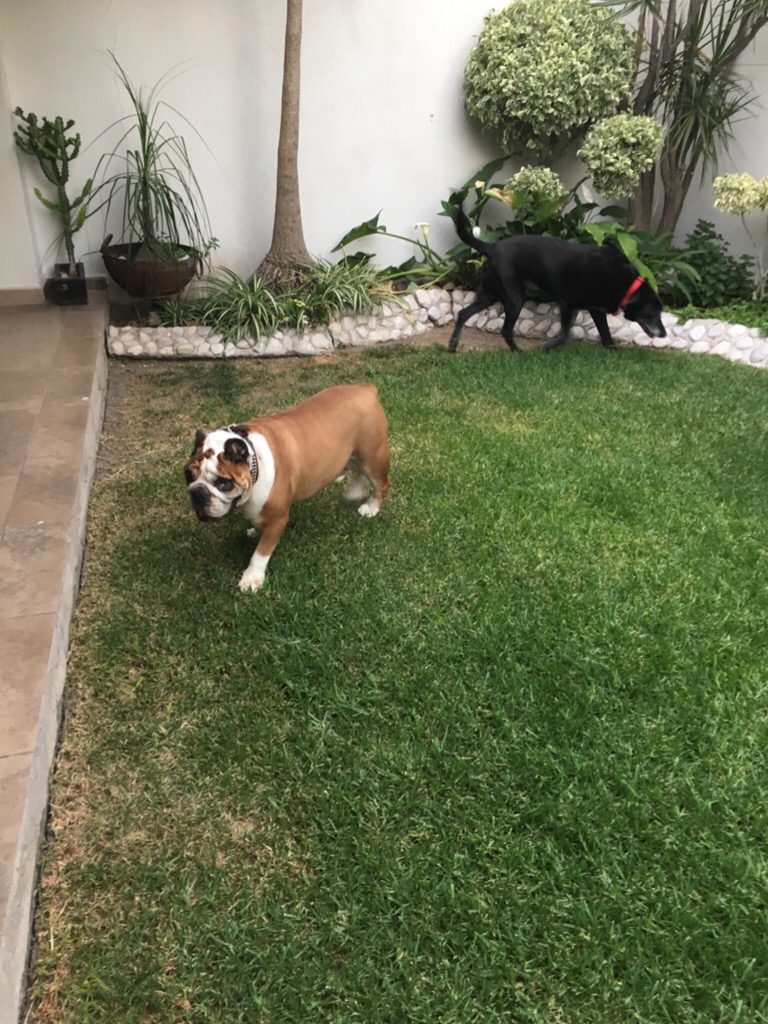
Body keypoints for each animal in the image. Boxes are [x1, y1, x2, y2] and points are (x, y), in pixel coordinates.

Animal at [450, 203, 667, 356]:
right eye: (652, 314)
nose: (664, 334)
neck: (627, 284)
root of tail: (492, 247)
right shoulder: (567, 304)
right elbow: (565, 334)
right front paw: (545, 348)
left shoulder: (595, 310)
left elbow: (605, 334)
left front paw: (612, 350)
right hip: (514, 299)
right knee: (505, 330)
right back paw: (519, 353)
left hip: (490, 293)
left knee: (462, 313)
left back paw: (452, 346)